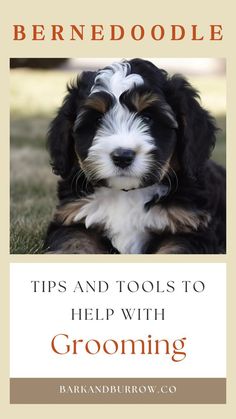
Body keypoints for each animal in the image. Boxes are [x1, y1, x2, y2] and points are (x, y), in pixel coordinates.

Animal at [43, 57, 226, 254]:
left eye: (147, 117)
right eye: (98, 120)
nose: (122, 156)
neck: (128, 194)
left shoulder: (188, 228)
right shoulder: (73, 219)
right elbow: (74, 246)